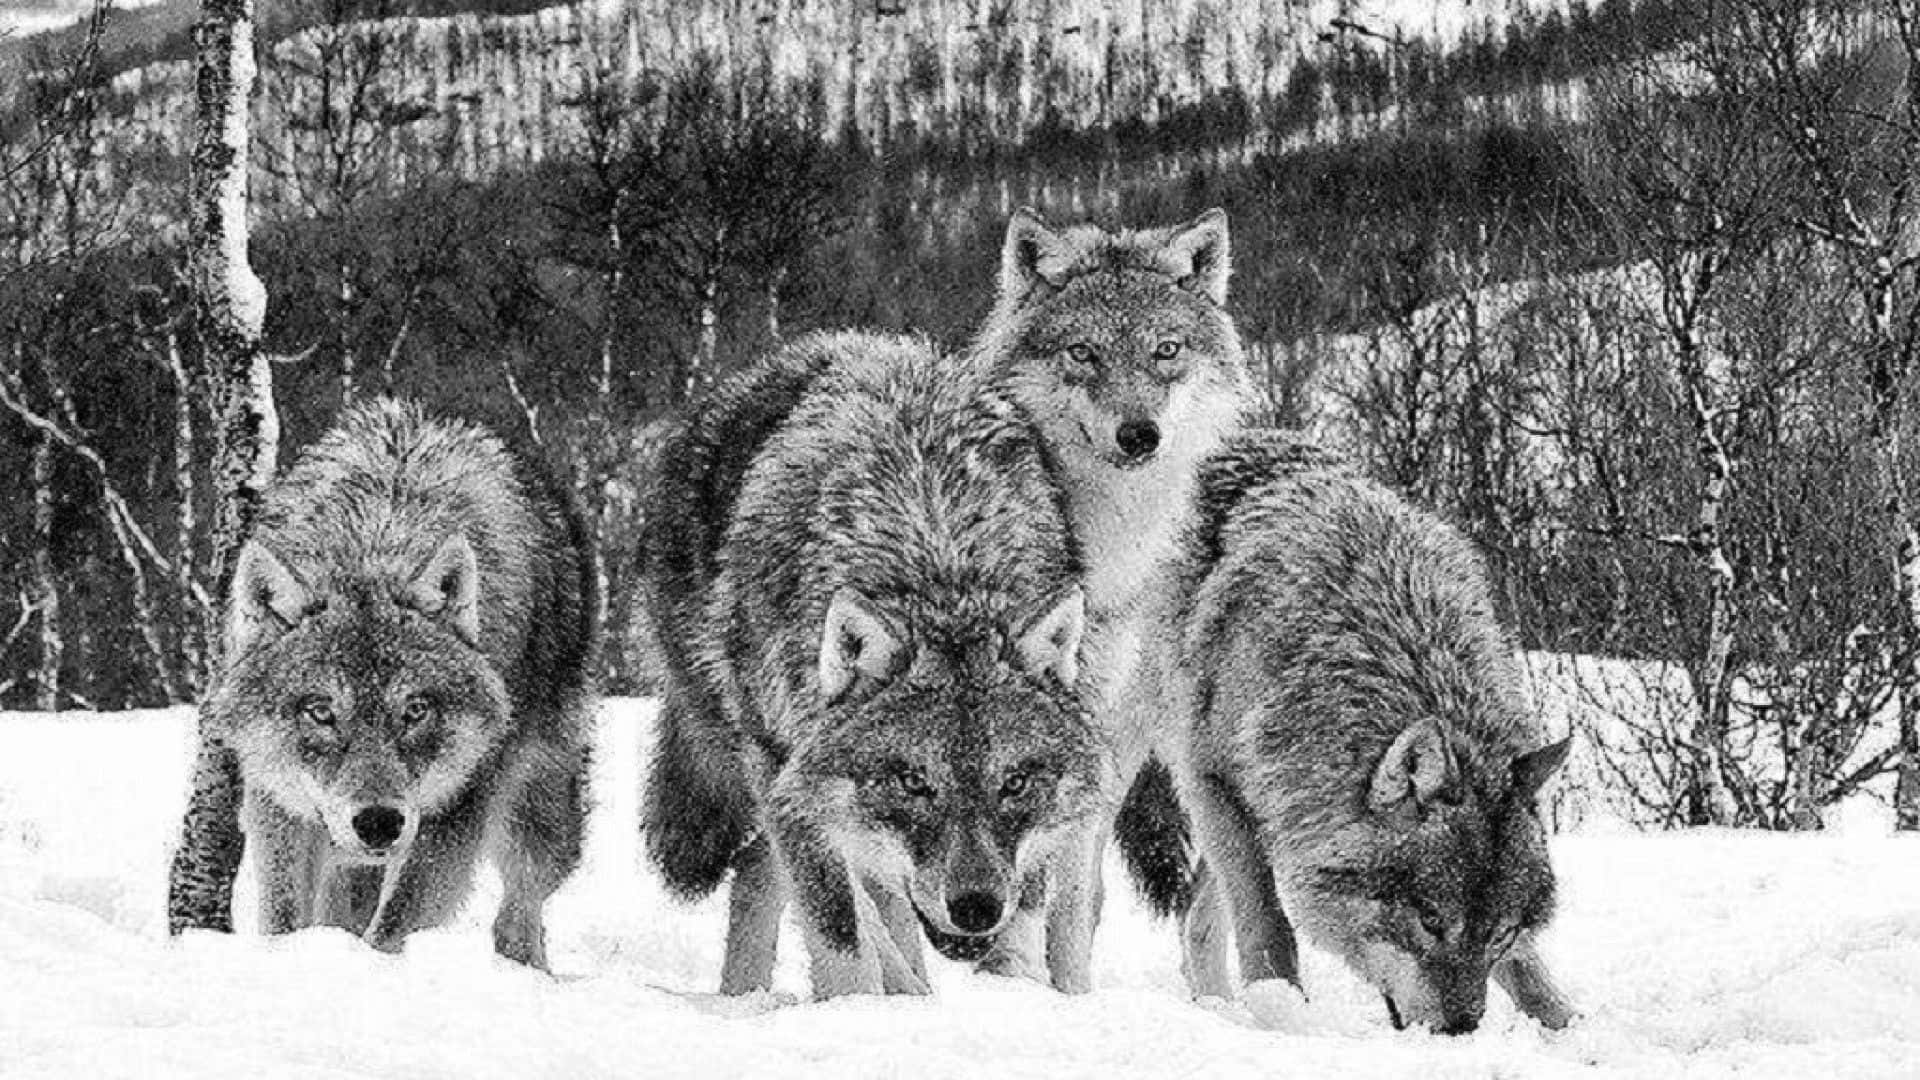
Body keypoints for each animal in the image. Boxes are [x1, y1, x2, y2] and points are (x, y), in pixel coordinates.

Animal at [201, 397, 591, 968]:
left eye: (416, 710)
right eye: (321, 711)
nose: (380, 822)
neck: (376, 539)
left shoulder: (455, 807)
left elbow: (391, 927)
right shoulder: (280, 799)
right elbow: (285, 917)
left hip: (536, 809)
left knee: (520, 909)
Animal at [637, 332, 1105, 999]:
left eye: (1014, 783)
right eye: (914, 781)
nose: (976, 907)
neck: (934, 550)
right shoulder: (787, 777)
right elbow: (845, 934)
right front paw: (860, 1010)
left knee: (766, 871)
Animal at [1152, 432, 1574, 1030]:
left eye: (1501, 932)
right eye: (1429, 919)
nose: (1462, 1031)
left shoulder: (1273, 807)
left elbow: (1530, 974)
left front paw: (1566, 1025)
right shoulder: (1214, 783)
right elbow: (1267, 923)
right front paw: (1285, 1016)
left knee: (1195, 914)